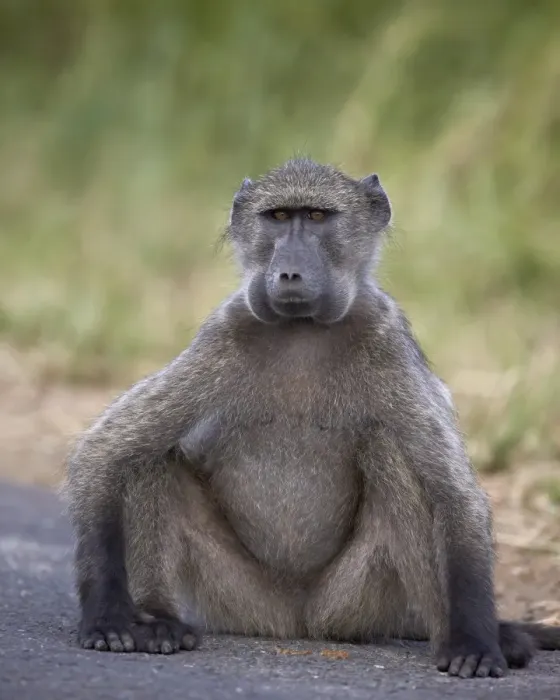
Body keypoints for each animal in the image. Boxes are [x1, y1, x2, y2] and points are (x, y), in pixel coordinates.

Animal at [63, 158, 560, 679]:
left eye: (318, 217)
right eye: (279, 217)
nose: (289, 272)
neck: (302, 330)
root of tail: (295, 624)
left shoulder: (389, 343)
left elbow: (457, 497)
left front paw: (476, 641)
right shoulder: (220, 337)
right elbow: (105, 452)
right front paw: (107, 617)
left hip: (352, 603)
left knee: (389, 452)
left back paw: (453, 633)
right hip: (240, 599)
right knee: (152, 458)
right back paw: (159, 618)